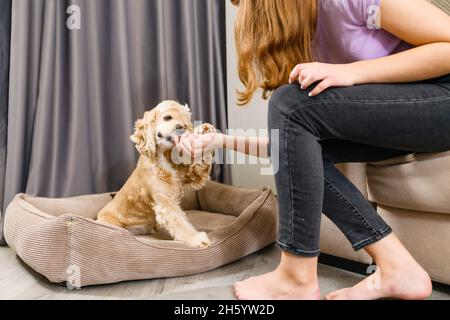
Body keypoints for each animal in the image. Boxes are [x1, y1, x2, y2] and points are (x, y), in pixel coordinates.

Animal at [98, 100, 216, 248]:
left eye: (185, 123)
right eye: (167, 117)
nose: (181, 127)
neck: (163, 158)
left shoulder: (190, 175)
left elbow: (198, 169)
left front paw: (206, 130)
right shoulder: (165, 203)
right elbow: (180, 224)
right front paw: (197, 238)